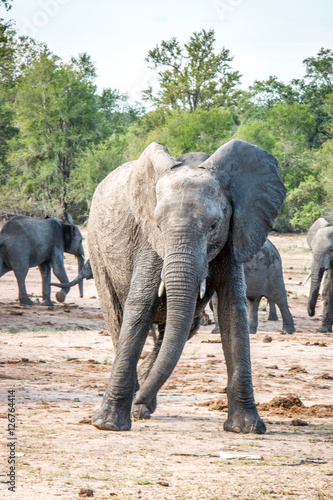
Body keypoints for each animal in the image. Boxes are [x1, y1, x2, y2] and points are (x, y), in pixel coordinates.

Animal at [85, 139, 286, 432]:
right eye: (158, 224)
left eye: (214, 225)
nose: (137, 399)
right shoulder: (148, 242)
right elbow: (141, 306)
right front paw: (108, 425)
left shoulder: (234, 236)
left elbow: (232, 310)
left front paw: (247, 428)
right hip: (96, 248)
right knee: (116, 317)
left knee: (184, 325)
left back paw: (142, 406)